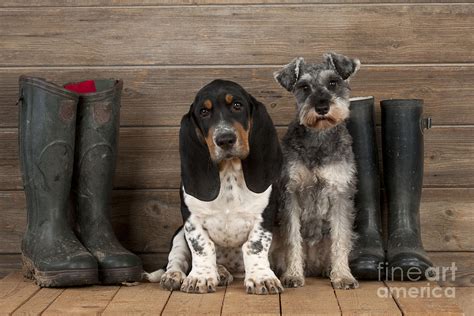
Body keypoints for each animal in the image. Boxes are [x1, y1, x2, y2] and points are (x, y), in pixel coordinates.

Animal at [272, 53, 362, 290]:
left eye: (333, 82)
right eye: (304, 87)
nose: (322, 107)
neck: (319, 137)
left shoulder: (340, 193)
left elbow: (340, 238)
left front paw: (343, 276)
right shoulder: (291, 193)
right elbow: (292, 239)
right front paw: (293, 275)